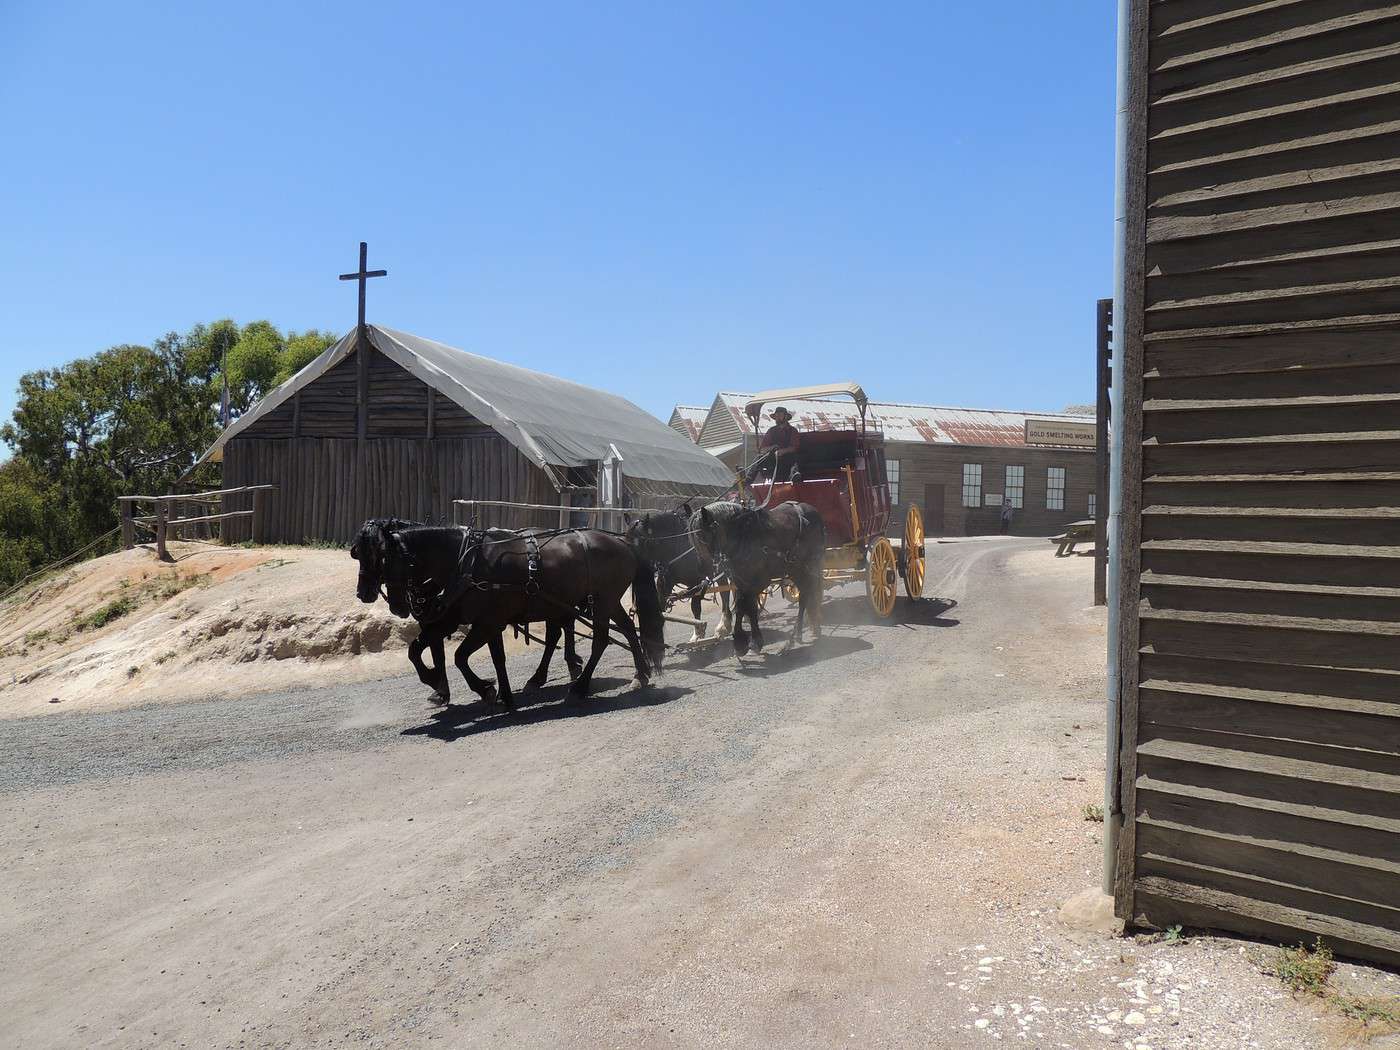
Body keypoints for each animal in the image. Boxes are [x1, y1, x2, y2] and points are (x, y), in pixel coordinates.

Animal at [352, 523, 663, 708]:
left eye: (382, 557)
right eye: (357, 555)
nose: (363, 593)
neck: (465, 561)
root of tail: (624, 542)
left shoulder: (485, 622)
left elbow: (459, 657)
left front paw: (484, 689)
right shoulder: (469, 620)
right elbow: (421, 650)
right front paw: (441, 684)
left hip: (601, 601)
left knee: (600, 639)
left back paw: (581, 685)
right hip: (603, 602)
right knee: (626, 628)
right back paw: (640, 673)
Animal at [624, 506, 733, 646]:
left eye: (643, 541)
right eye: (626, 539)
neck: (677, 546)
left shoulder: (697, 581)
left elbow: (695, 607)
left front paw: (697, 634)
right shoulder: (665, 581)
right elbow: (660, 606)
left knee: (725, 593)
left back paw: (723, 626)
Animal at [691, 501, 823, 658]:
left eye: (703, 536)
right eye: (694, 540)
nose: (701, 568)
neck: (744, 536)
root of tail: (811, 509)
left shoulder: (759, 581)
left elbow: (744, 605)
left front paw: (747, 642)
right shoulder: (742, 581)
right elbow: (746, 607)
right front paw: (746, 642)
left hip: (811, 564)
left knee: (809, 592)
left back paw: (803, 631)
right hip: (795, 569)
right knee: (805, 594)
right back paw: (799, 633)